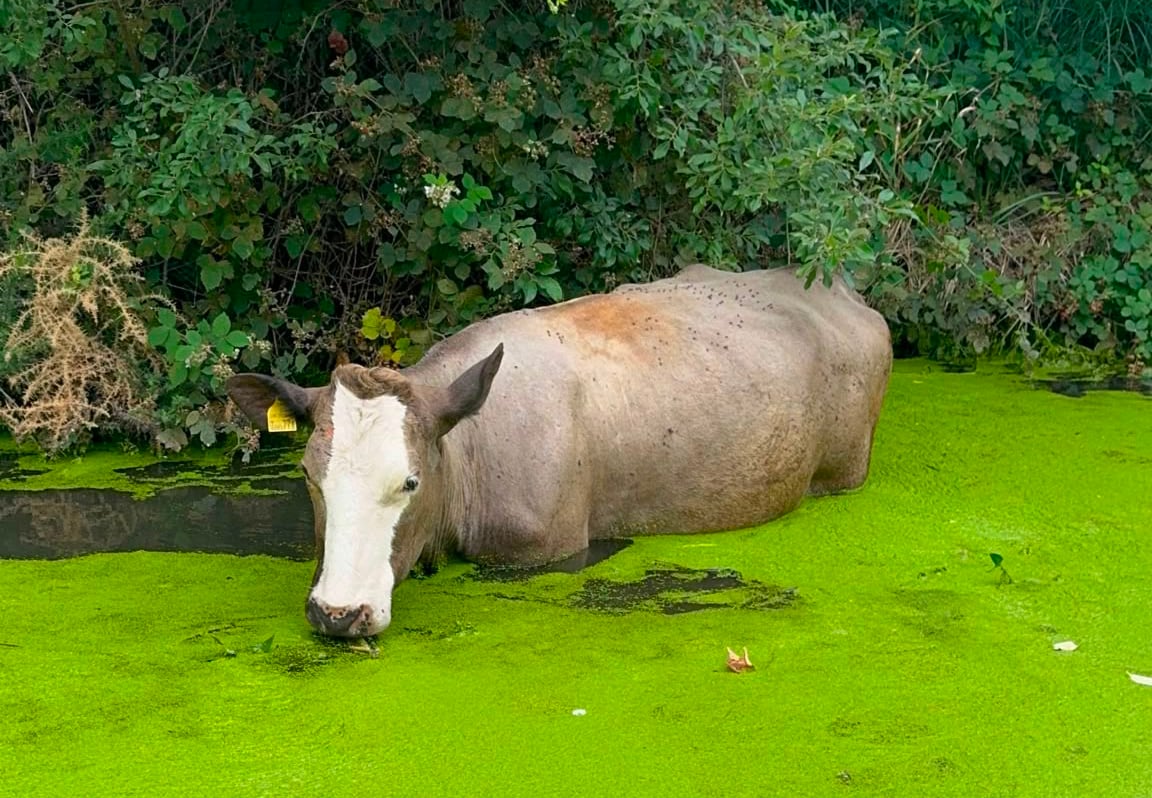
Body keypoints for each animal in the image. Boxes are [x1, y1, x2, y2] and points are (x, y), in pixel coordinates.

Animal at [226, 265, 892, 637]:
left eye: (410, 482)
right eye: (309, 476)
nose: (337, 613)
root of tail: (838, 290)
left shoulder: (546, 547)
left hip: (844, 469)